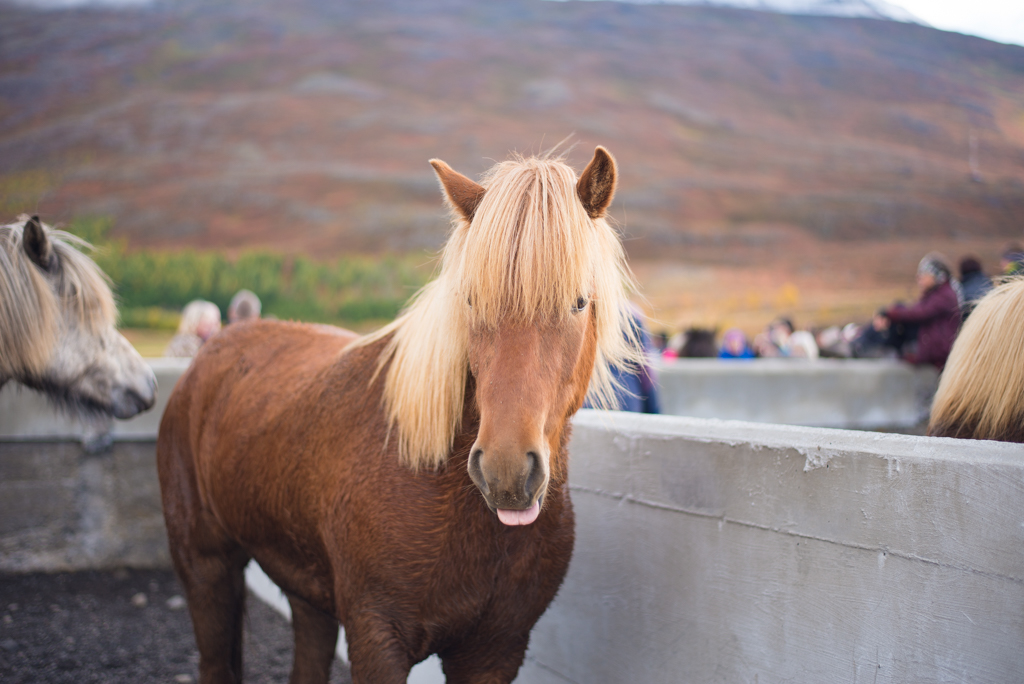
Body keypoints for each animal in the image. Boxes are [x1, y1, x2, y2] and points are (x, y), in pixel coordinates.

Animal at [156, 147, 638, 679]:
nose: (506, 471)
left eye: (579, 302)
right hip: (205, 565)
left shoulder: (496, 652)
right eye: (471, 299)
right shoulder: (377, 640)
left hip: (307, 592)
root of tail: (215, 350)